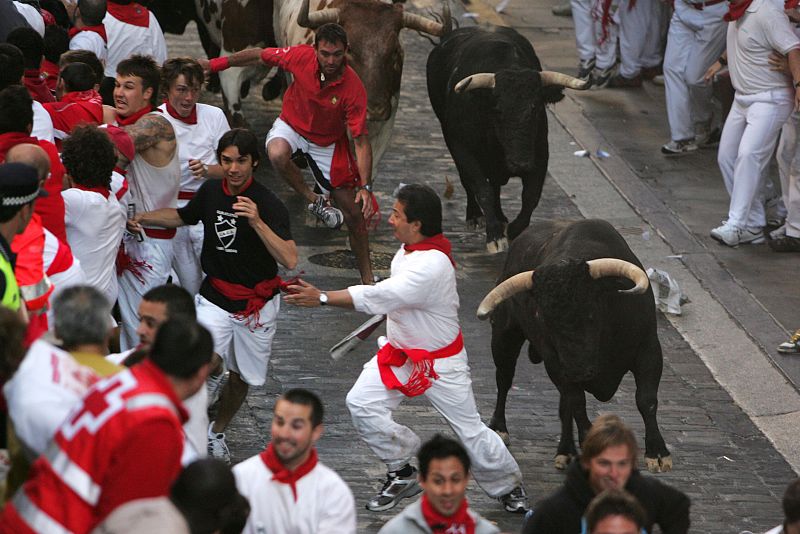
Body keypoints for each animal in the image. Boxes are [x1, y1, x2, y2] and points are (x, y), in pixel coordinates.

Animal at [424, 26, 588, 255]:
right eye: (498, 110)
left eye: (536, 108)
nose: (521, 163)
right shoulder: (462, 148)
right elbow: (481, 189)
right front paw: (495, 236)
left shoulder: (540, 153)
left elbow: (531, 195)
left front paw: (513, 230)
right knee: (471, 182)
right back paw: (475, 216)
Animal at [478, 220, 672, 476]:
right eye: (544, 318)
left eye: (590, 313)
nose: (579, 370)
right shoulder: (556, 363)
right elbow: (577, 403)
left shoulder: (648, 349)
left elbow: (646, 399)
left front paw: (658, 453)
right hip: (504, 338)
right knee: (504, 380)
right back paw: (502, 429)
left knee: (563, 405)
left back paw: (566, 450)